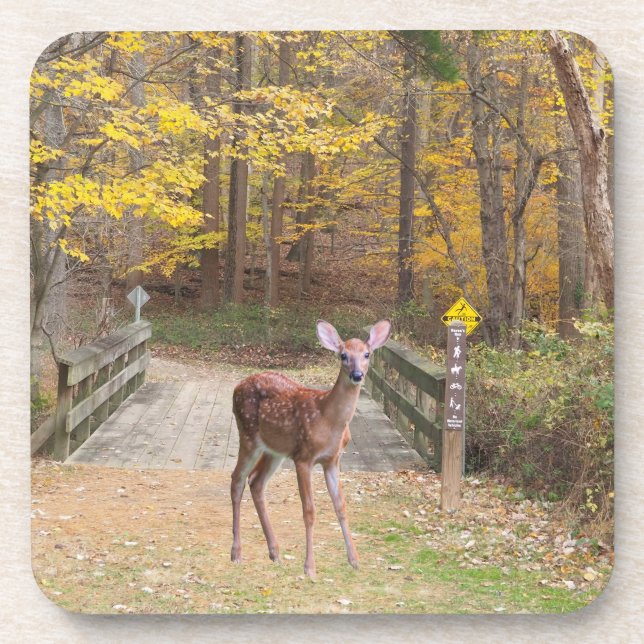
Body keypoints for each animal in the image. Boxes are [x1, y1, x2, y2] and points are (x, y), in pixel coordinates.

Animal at [230, 319, 392, 579]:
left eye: (367, 354)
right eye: (343, 355)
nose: (357, 375)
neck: (328, 420)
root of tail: (236, 387)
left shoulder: (333, 460)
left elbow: (341, 506)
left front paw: (354, 560)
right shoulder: (303, 457)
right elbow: (309, 511)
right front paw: (310, 567)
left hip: (274, 450)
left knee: (255, 482)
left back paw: (274, 552)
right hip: (247, 435)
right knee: (237, 480)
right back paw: (236, 553)